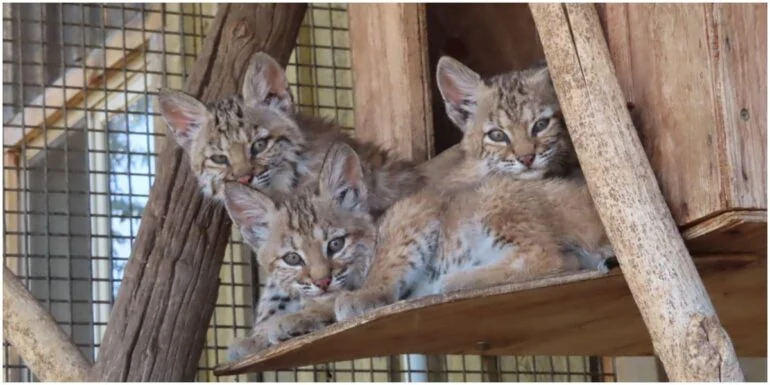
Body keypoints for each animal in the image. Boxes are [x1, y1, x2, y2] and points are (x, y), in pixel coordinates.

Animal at [332, 56, 608, 320]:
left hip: (495, 197)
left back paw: (455, 280)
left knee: (548, 256)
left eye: (541, 125)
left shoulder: (420, 205)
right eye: (497, 135)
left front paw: (360, 294)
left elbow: (387, 257)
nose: (527, 158)